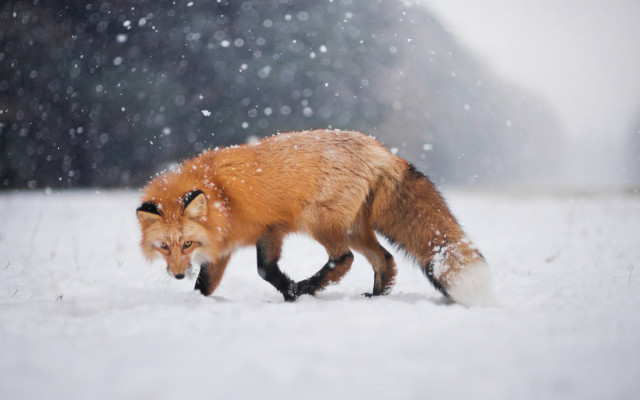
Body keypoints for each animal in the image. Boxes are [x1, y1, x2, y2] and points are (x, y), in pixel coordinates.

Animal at [136, 129, 492, 306]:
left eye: (187, 243)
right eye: (165, 247)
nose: (177, 275)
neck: (221, 196)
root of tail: (382, 151)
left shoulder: (271, 228)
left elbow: (264, 269)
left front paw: (291, 292)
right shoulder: (224, 246)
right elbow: (205, 285)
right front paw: (198, 303)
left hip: (318, 221)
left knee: (345, 259)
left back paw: (310, 287)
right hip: (354, 229)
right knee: (385, 260)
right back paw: (376, 298)